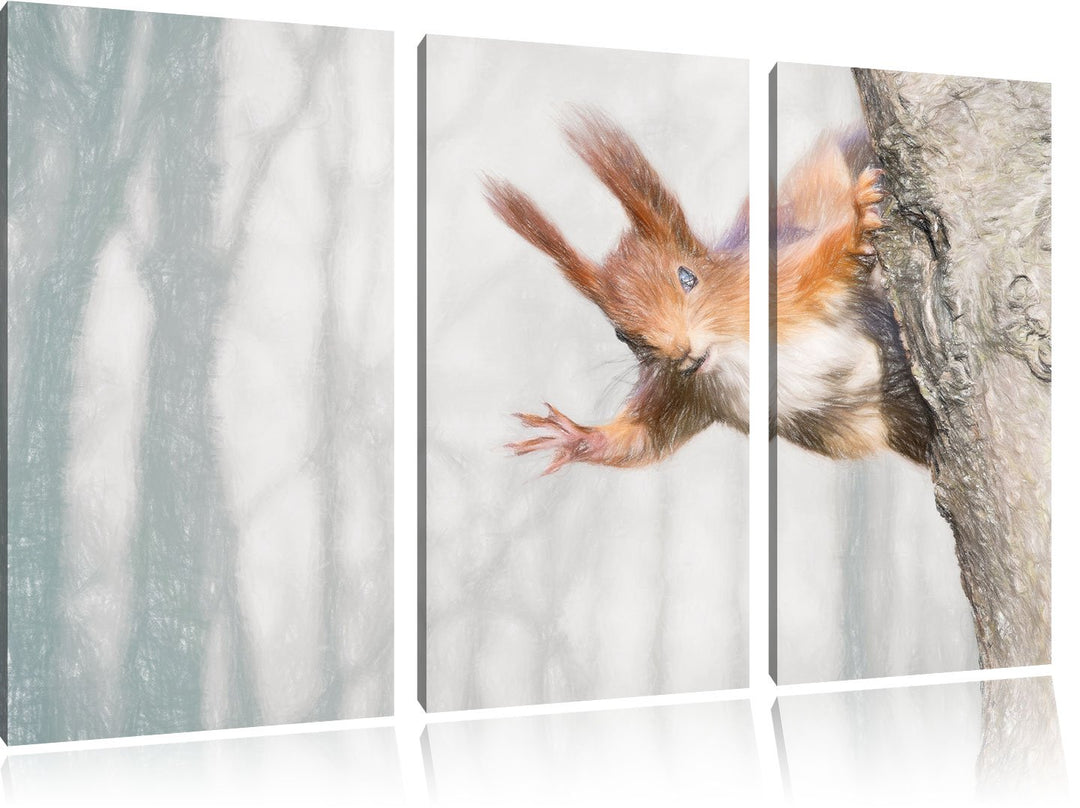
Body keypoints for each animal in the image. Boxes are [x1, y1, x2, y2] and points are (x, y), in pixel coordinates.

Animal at [485, 110, 932, 474]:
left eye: (688, 277)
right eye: (621, 335)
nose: (681, 351)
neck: (732, 352)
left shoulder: (784, 284)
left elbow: (835, 259)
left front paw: (859, 221)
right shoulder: (684, 390)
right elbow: (647, 437)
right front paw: (576, 436)